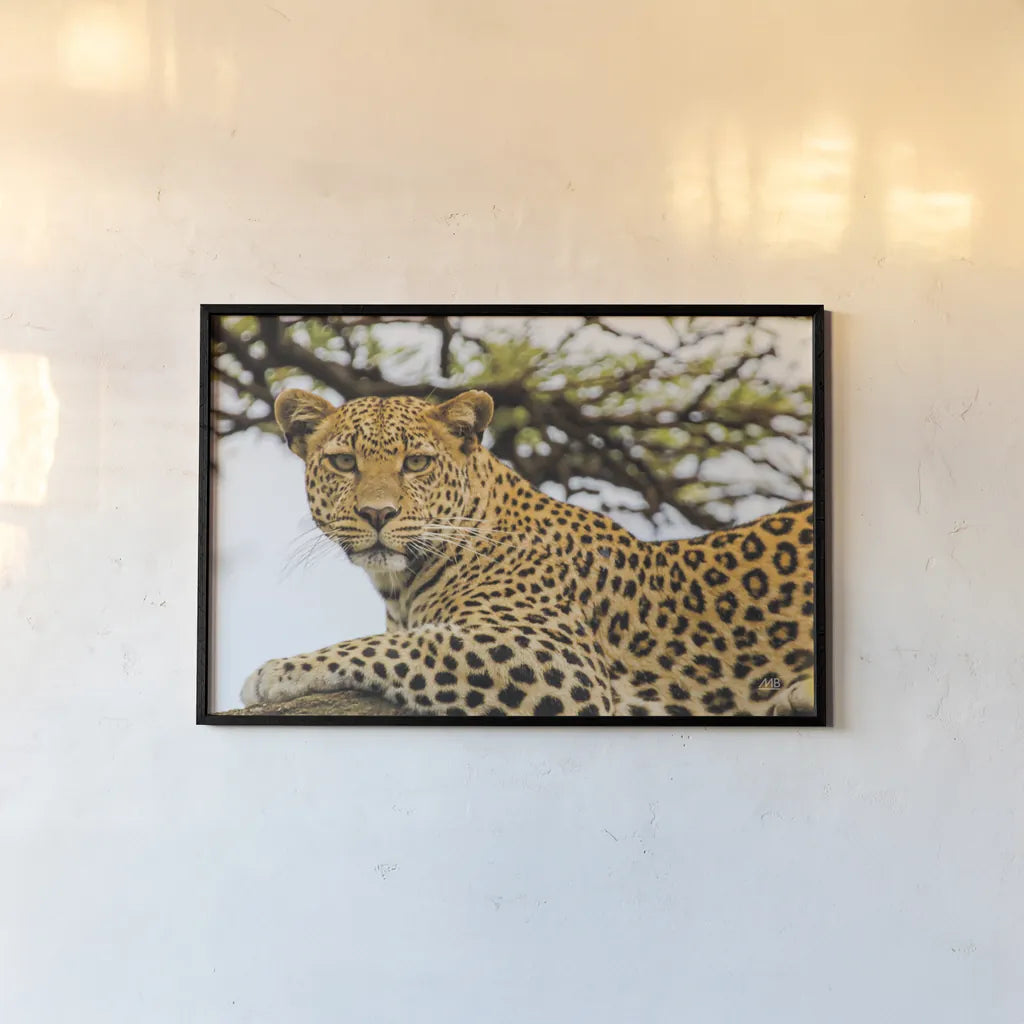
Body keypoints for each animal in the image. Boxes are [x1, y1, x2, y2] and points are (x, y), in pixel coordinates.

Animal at [240, 388, 818, 718]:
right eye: (343, 462)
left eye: (417, 463)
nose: (378, 514)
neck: (401, 588)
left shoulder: (557, 660)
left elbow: (397, 646)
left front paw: (278, 672)